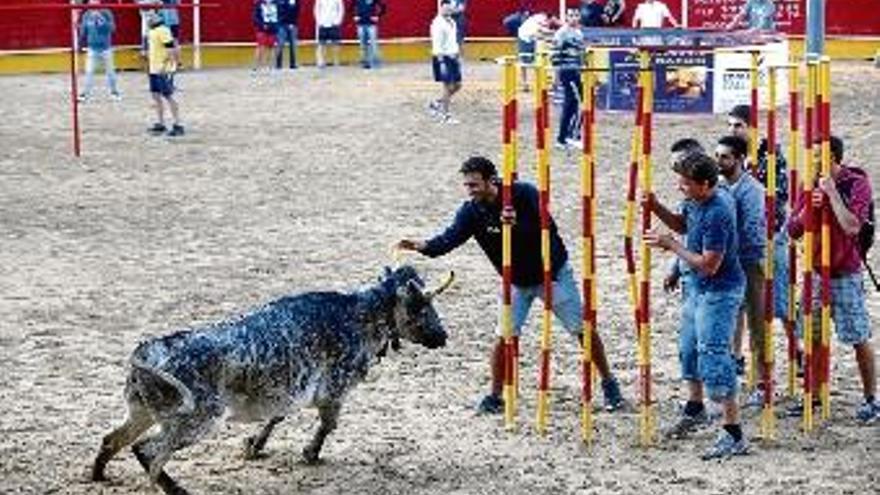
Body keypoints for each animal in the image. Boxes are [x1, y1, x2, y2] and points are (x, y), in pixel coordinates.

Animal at [91, 268, 454, 495]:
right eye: (421, 305)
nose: (443, 336)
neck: (357, 314)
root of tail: (148, 350)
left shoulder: (289, 391)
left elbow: (277, 418)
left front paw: (254, 445)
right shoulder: (334, 390)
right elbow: (328, 425)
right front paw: (309, 453)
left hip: (141, 412)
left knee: (113, 440)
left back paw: (98, 475)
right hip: (197, 421)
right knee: (148, 451)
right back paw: (177, 490)